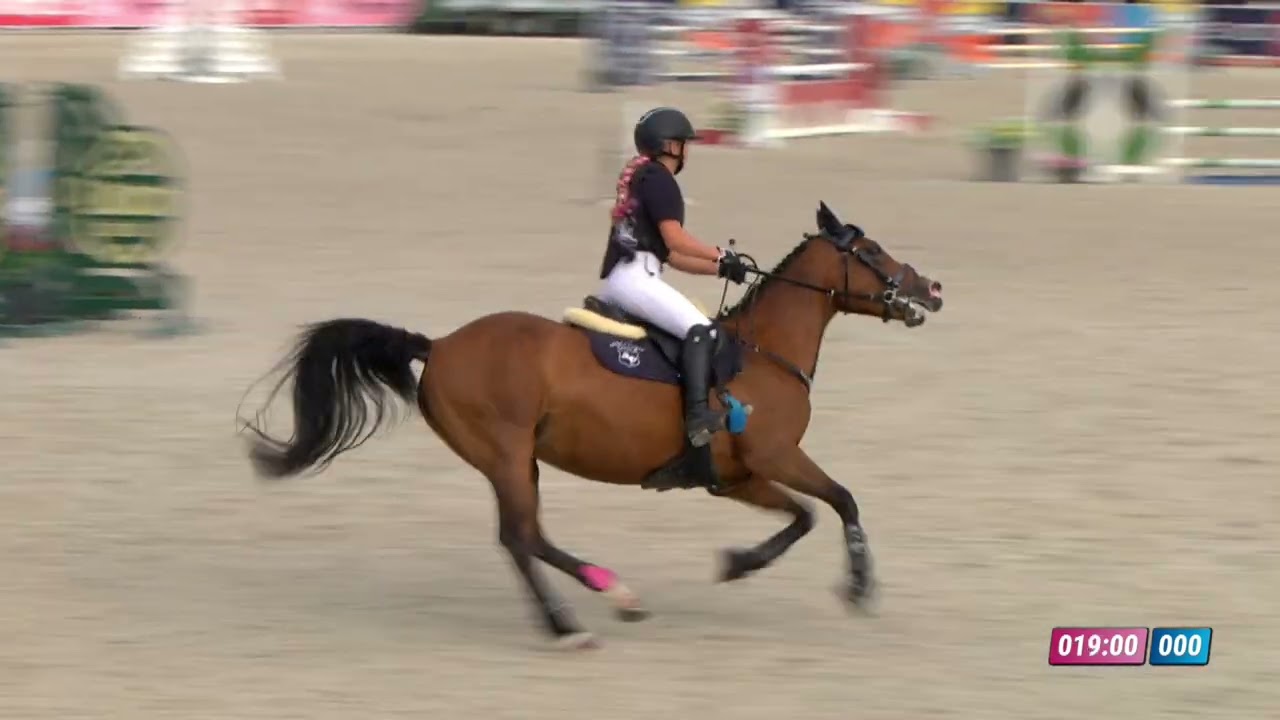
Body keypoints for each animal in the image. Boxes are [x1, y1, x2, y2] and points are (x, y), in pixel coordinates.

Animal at [241, 201, 944, 649]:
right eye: (872, 251)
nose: (931, 290)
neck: (763, 352)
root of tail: (438, 345)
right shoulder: (775, 457)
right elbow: (840, 502)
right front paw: (859, 587)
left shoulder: (739, 476)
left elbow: (804, 516)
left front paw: (739, 563)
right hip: (505, 453)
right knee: (521, 537)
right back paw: (579, 618)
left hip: (517, 459)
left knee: (527, 537)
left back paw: (604, 600)